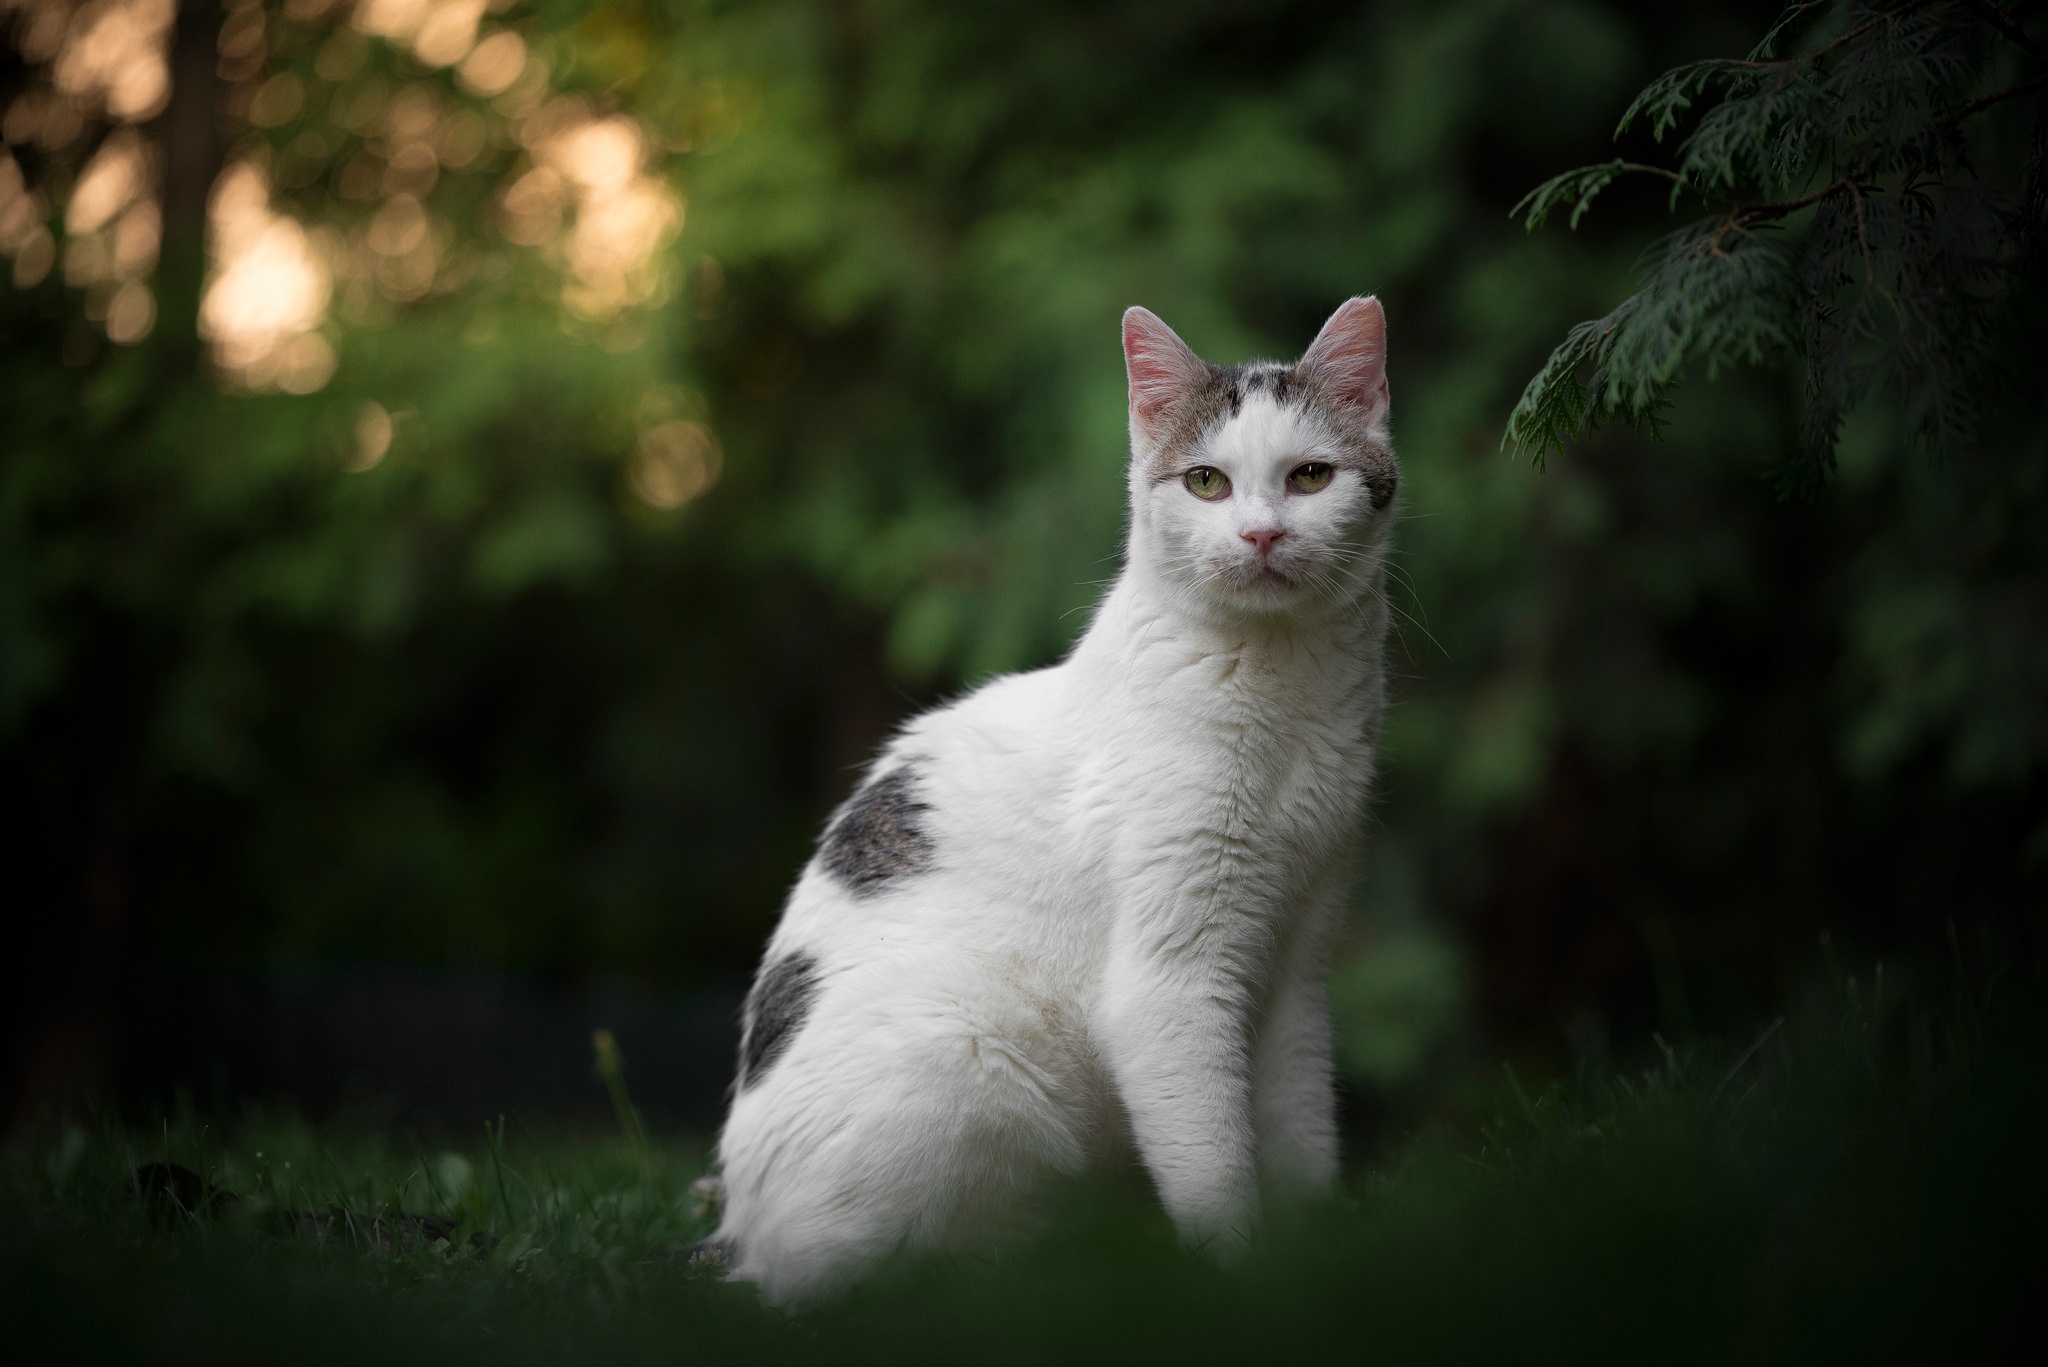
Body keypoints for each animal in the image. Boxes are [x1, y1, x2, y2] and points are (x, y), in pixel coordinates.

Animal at [704, 297, 1392, 1303]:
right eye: (1207, 482)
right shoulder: (1168, 984)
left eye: (1309, 477)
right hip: (958, 1058)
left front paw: (1317, 1261)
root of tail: (740, 1238)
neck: (1283, 691)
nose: (1262, 534)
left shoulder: (1299, 961)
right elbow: (1212, 1160)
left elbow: (1302, 1127)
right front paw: (1237, 1281)